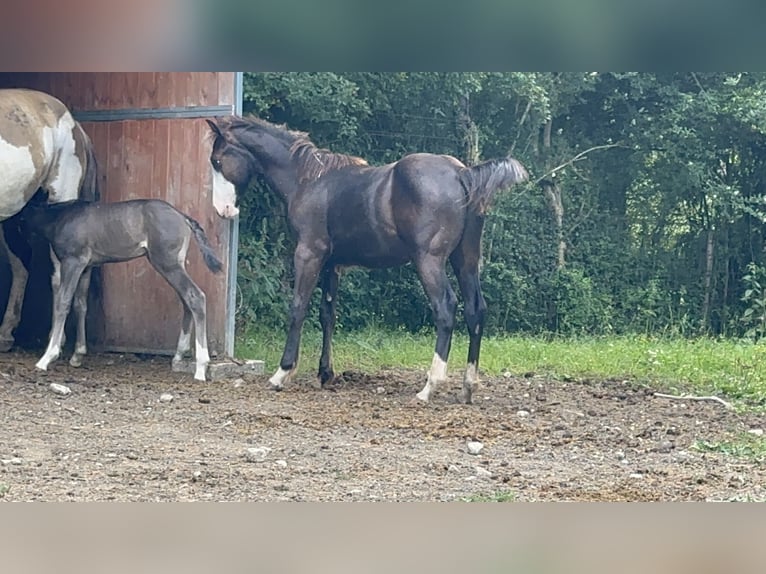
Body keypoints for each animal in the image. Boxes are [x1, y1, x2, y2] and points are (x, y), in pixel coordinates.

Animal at [0, 88, 99, 352]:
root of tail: (76, 126)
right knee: (21, 264)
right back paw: (6, 334)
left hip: (59, 198)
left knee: (58, 275)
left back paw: (57, 339)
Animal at [21, 198, 223, 381]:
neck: (58, 218)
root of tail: (183, 217)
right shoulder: (86, 267)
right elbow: (80, 304)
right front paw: (77, 355)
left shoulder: (73, 261)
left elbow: (63, 302)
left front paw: (47, 358)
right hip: (174, 264)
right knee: (186, 299)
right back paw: (179, 354)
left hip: (167, 263)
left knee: (195, 296)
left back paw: (200, 367)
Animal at [206, 115, 528, 403]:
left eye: (218, 161)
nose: (222, 210)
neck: (308, 179)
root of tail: (462, 174)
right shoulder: (332, 264)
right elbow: (327, 314)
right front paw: (325, 374)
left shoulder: (309, 254)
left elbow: (298, 307)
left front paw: (282, 374)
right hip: (466, 261)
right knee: (476, 310)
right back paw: (467, 387)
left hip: (429, 261)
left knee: (446, 308)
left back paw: (429, 387)